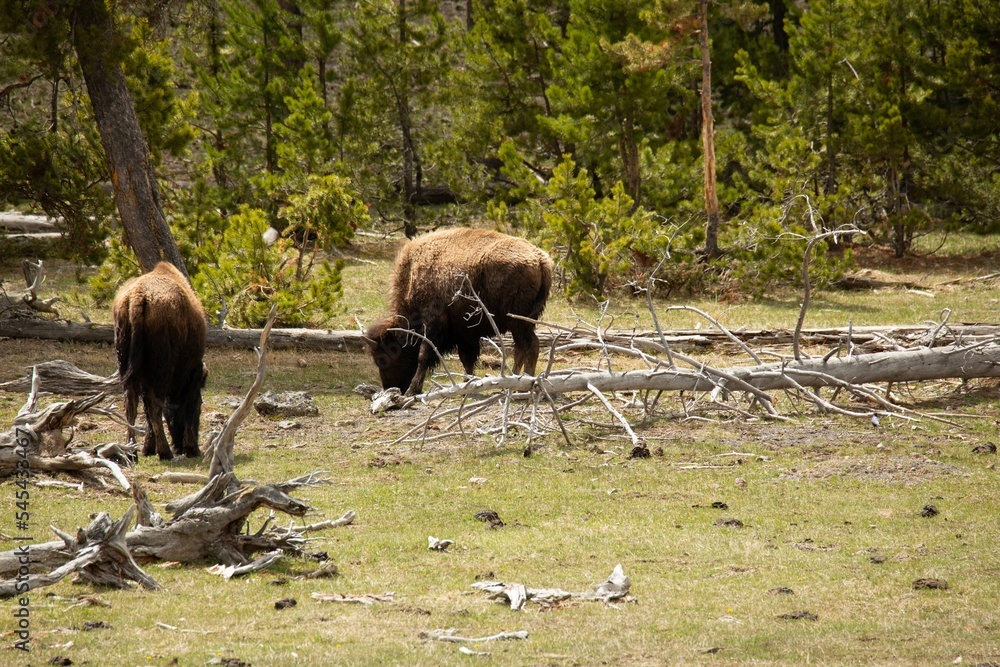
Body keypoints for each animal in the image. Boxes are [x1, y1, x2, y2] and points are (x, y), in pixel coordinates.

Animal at [113, 262, 207, 460]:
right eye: (200, 407)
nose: (180, 447)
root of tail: (138, 297)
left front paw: (148, 448)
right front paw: (190, 448)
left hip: (126, 364)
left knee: (131, 403)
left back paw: (132, 451)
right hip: (160, 370)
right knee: (154, 403)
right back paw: (165, 452)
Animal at [365, 228, 553, 395]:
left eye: (382, 358)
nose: (391, 387)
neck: (412, 277)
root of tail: (540, 259)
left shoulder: (433, 324)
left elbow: (423, 355)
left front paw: (412, 391)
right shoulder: (464, 332)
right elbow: (466, 358)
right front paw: (466, 385)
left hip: (518, 321)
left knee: (530, 345)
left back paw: (524, 385)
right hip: (522, 322)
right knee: (521, 348)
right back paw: (510, 384)